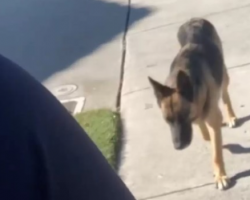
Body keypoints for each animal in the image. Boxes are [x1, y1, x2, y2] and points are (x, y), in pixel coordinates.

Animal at [148, 18, 236, 190]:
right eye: (167, 120)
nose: (178, 147)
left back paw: (231, 116)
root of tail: (195, 20)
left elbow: (216, 154)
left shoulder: (210, 117)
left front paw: (220, 176)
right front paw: (207, 137)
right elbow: (204, 131)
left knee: (225, 94)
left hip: (223, 76)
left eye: (183, 116)